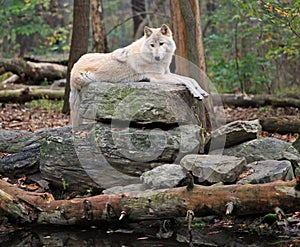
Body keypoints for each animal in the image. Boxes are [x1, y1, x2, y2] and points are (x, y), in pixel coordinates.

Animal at [69, 24, 207, 126]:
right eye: (152, 45)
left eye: (161, 44)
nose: (157, 57)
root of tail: (72, 68)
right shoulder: (157, 77)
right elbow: (186, 81)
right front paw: (197, 94)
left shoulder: (167, 72)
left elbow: (191, 79)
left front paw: (202, 91)